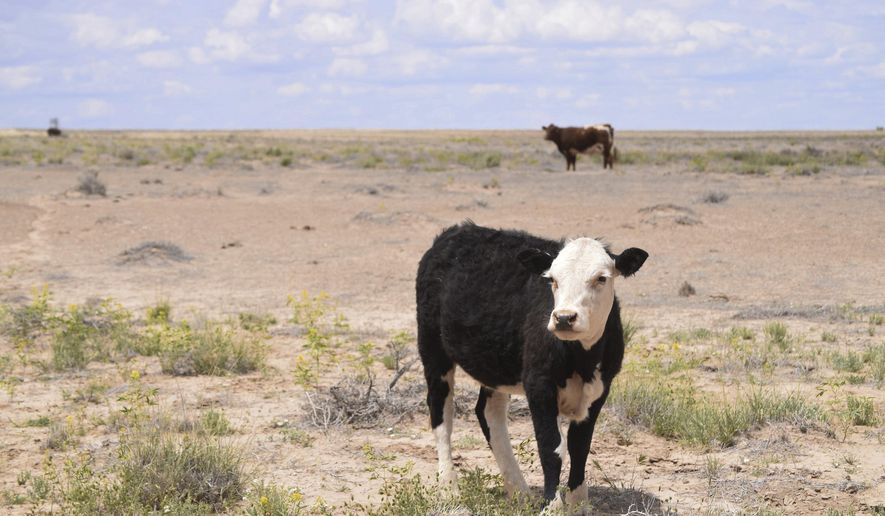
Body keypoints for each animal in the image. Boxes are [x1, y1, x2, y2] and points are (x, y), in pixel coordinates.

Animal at [416, 221, 648, 513]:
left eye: (601, 278)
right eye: (552, 279)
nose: (564, 318)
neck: (580, 359)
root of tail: (457, 231)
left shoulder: (600, 388)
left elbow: (580, 446)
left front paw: (578, 504)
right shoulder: (539, 384)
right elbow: (551, 447)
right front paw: (552, 507)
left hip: (496, 365)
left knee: (488, 413)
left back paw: (519, 492)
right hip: (433, 348)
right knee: (441, 414)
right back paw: (449, 489)